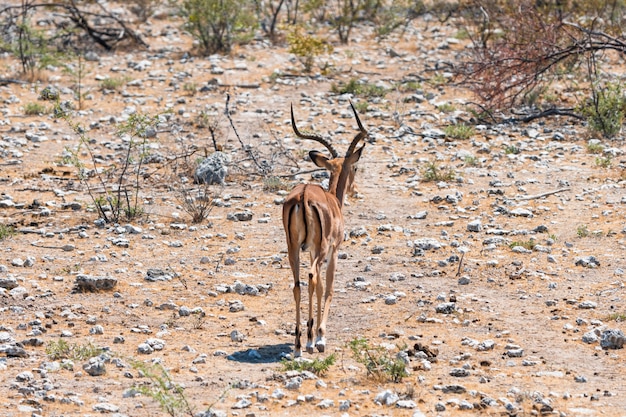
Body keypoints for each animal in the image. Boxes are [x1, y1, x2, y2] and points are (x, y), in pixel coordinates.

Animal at [282, 100, 366, 354]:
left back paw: (298, 345)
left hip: (293, 249)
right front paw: (320, 336)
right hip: (320, 249)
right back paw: (310, 342)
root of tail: (303, 196)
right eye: (355, 168)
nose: (354, 190)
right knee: (311, 278)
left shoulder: (309, 250)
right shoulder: (333, 249)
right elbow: (327, 287)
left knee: (297, 285)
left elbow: (318, 286)